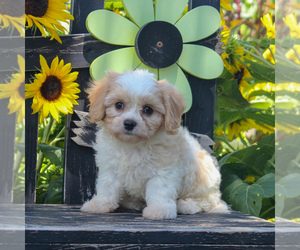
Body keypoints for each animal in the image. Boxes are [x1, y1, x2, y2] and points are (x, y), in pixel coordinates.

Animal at [81, 70, 229, 219]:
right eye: (119, 105)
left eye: (148, 109)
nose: (129, 123)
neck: (132, 145)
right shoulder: (110, 167)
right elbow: (107, 186)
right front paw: (99, 204)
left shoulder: (163, 170)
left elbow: (160, 190)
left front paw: (159, 210)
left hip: (205, 185)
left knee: (206, 203)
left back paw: (186, 205)